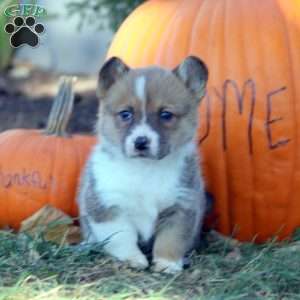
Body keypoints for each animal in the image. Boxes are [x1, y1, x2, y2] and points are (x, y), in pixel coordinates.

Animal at [77, 56, 209, 274]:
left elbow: (170, 241)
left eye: (166, 115)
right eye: (125, 114)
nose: (141, 142)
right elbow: (122, 238)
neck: (145, 169)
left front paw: (167, 264)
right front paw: (133, 259)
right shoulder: (108, 207)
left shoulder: (180, 207)